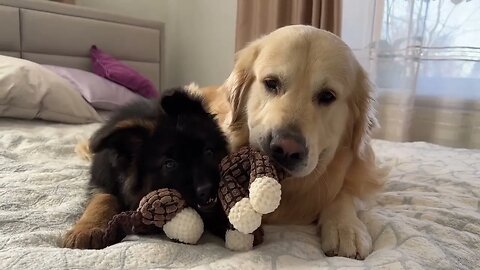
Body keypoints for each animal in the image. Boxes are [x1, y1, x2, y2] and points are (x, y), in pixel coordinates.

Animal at [62, 87, 232, 248]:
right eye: (169, 164)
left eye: (208, 152)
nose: (208, 190)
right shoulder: (101, 182)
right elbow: (103, 199)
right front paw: (87, 229)